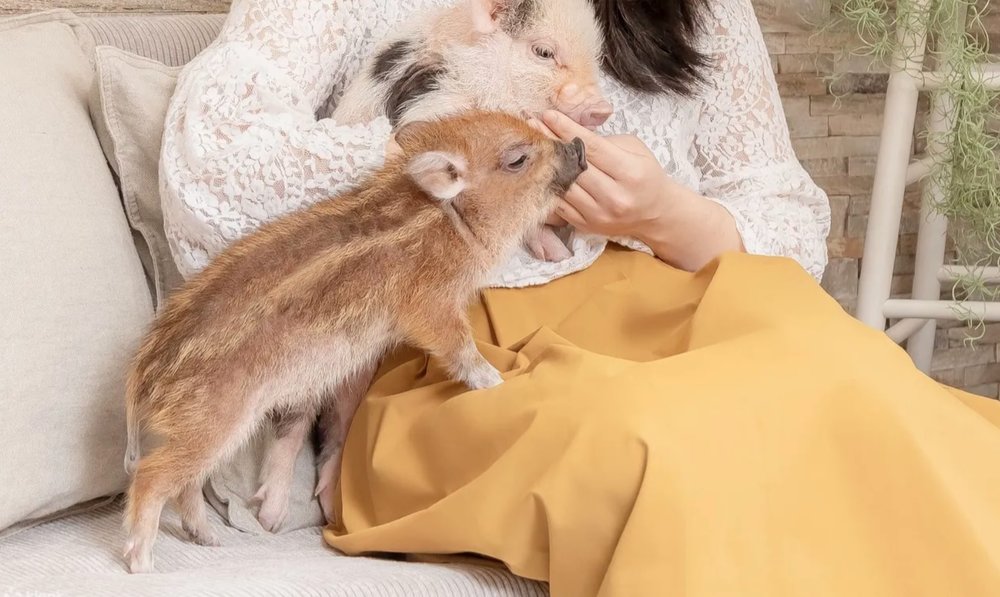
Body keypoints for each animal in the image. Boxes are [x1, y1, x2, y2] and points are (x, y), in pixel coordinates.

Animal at [121, 109, 588, 574]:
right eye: (517, 159)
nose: (579, 145)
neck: (448, 222)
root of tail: (143, 375)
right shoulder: (429, 306)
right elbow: (459, 346)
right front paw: (495, 381)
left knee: (187, 483)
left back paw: (209, 538)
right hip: (214, 420)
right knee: (153, 475)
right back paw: (141, 562)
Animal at [332, 0, 612, 262]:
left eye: (595, 57)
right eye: (543, 52)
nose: (603, 109)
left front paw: (560, 255)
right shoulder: (430, 106)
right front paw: (558, 254)